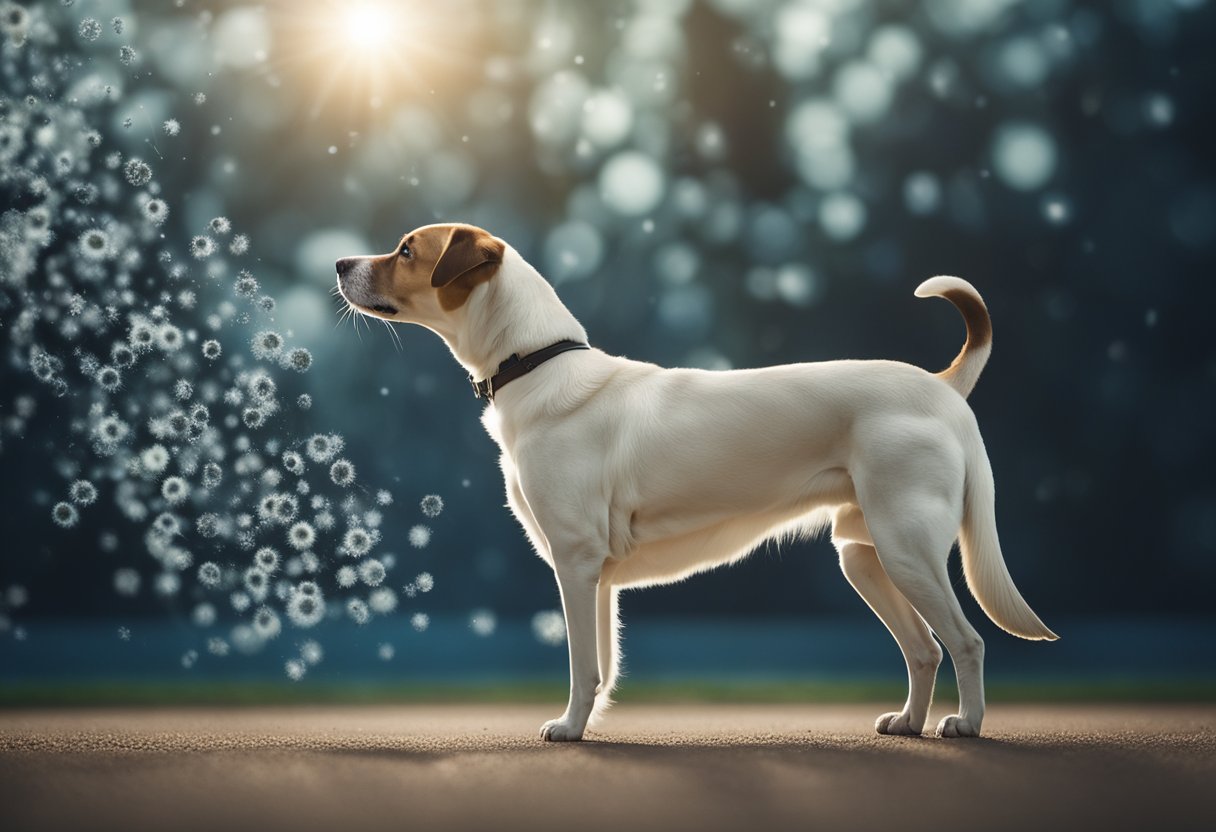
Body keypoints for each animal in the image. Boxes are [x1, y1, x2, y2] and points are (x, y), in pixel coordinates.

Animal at [338, 222, 1060, 739]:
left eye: (406, 249)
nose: (341, 263)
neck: (534, 361)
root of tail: (940, 386)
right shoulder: (599, 577)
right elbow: (601, 666)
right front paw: (587, 726)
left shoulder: (573, 562)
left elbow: (581, 665)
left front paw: (568, 729)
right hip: (864, 555)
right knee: (923, 648)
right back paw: (908, 723)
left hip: (907, 550)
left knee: (965, 640)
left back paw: (966, 725)